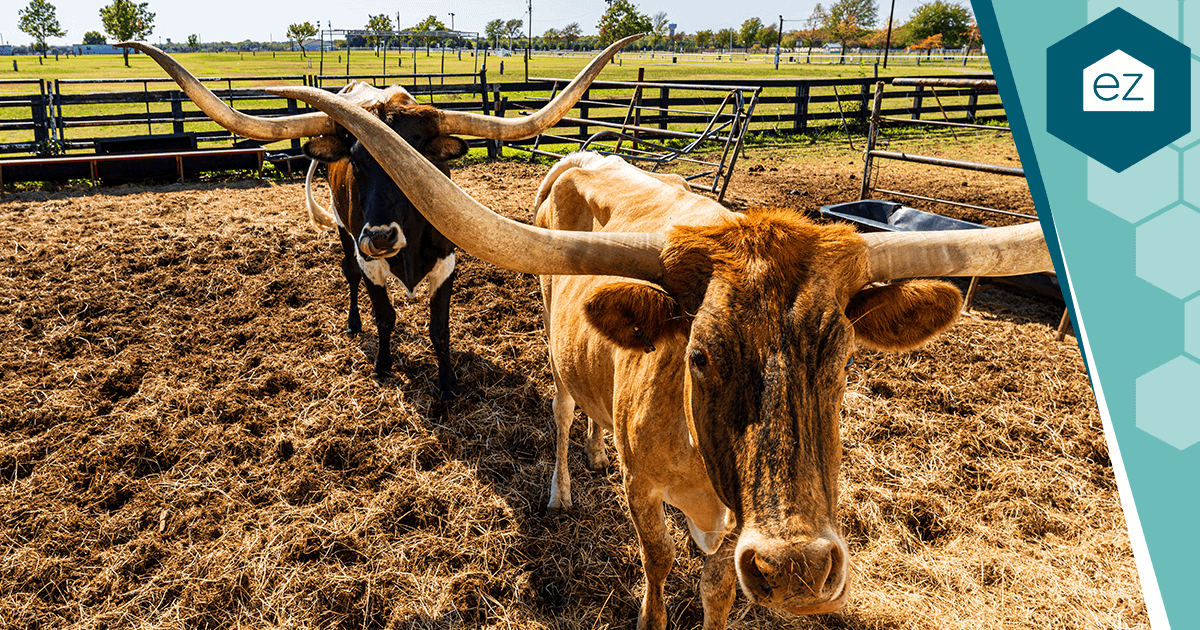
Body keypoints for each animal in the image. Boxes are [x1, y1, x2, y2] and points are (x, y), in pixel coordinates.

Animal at [118, 37, 639, 401]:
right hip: (346, 236)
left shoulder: (447, 262)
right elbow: (385, 315)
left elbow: (439, 329)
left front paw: (448, 385)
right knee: (348, 275)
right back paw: (353, 323)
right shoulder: (368, 259)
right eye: (357, 159)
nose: (383, 236)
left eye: (418, 160)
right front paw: (385, 366)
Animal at [259, 84, 1054, 630]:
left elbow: (719, 586)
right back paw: (564, 483)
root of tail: (582, 154)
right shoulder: (644, 493)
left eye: (842, 357)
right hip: (551, 346)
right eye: (698, 355)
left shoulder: (736, 526)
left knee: (590, 411)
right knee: (560, 413)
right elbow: (660, 562)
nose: (797, 568)